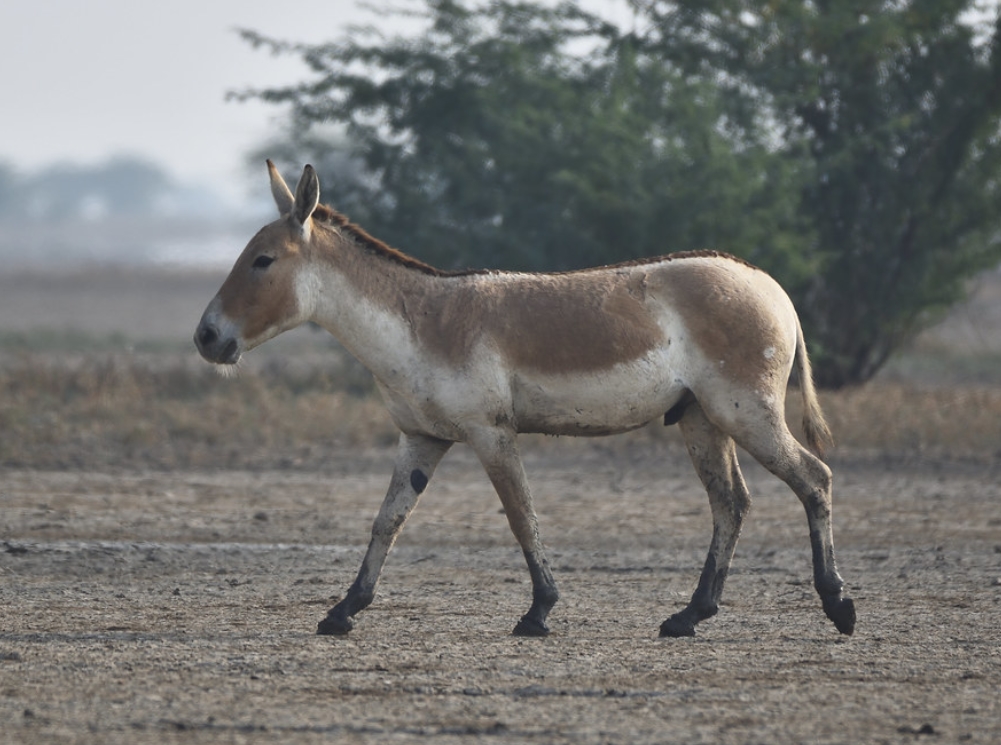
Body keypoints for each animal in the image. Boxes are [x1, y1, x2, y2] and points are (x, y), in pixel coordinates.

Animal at [194, 161, 856, 639]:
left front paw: (538, 613)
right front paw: (342, 610)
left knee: (814, 479)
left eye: (262, 260)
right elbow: (387, 521)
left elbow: (521, 515)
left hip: (747, 412)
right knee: (732, 503)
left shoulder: (491, 433)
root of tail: (769, 285)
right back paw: (689, 617)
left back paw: (838, 606)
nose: (206, 337)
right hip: (702, 419)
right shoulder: (421, 438)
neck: (421, 324)